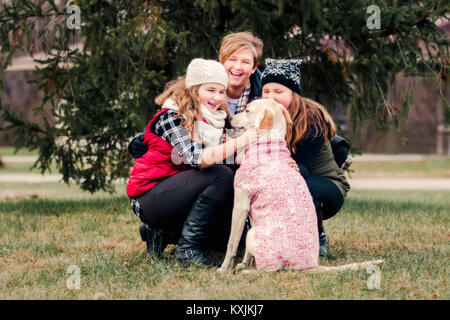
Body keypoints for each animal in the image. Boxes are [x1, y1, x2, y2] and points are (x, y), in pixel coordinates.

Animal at [218, 99, 384, 272]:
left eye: (247, 110)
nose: (229, 119)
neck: (268, 144)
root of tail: (311, 265)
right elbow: (247, 252)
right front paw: (243, 263)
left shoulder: (240, 206)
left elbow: (232, 243)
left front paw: (224, 269)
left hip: (253, 235)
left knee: (270, 269)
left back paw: (248, 272)